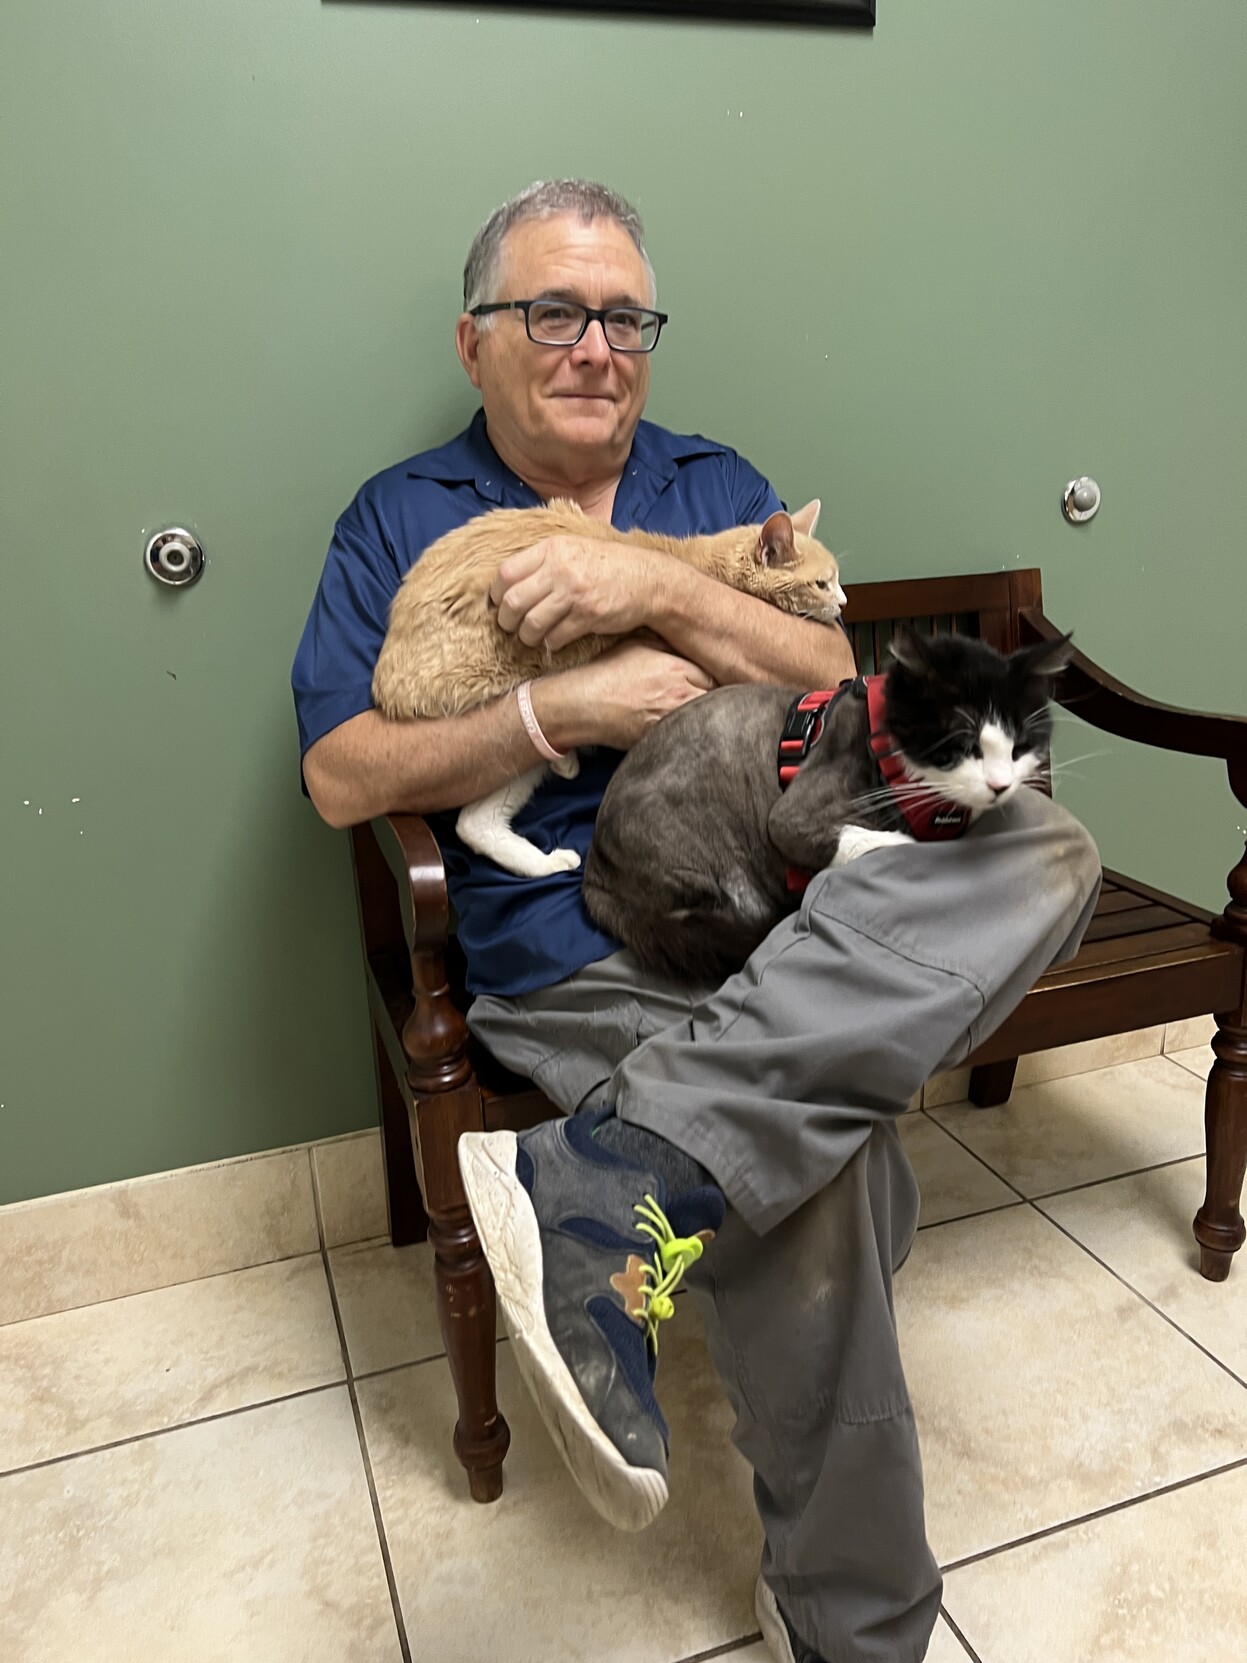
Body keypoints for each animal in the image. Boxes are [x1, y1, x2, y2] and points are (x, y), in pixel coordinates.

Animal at [371, 497, 846, 877]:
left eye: (837, 581)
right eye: (822, 584)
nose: (842, 603)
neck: (702, 565)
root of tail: (385, 688)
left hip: (512, 759)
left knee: (474, 822)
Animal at [581, 629, 1074, 984]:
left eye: (1020, 746)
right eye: (963, 745)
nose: (1000, 785)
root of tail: (594, 872)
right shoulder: (794, 813)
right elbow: (865, 838)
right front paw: (904, 840)